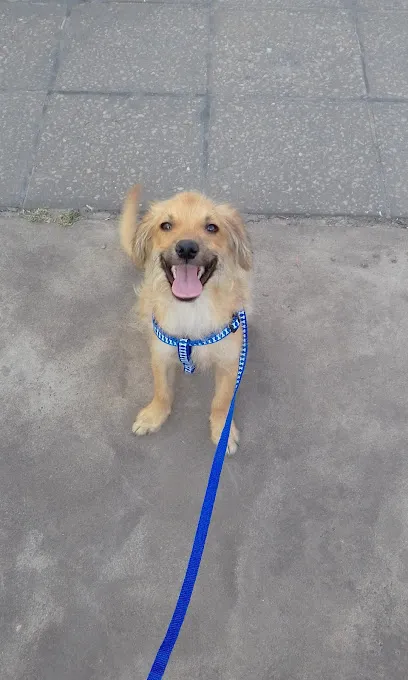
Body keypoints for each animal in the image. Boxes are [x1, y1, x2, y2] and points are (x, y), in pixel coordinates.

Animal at [118, 183, 252, 454]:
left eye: (211, 227)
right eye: (166, 225)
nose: (187, 248)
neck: (192, 309)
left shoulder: (230, 361)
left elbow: (222, 401)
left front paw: (222, 431)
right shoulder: (161, 352)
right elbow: (161, 391)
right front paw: (154, 416)